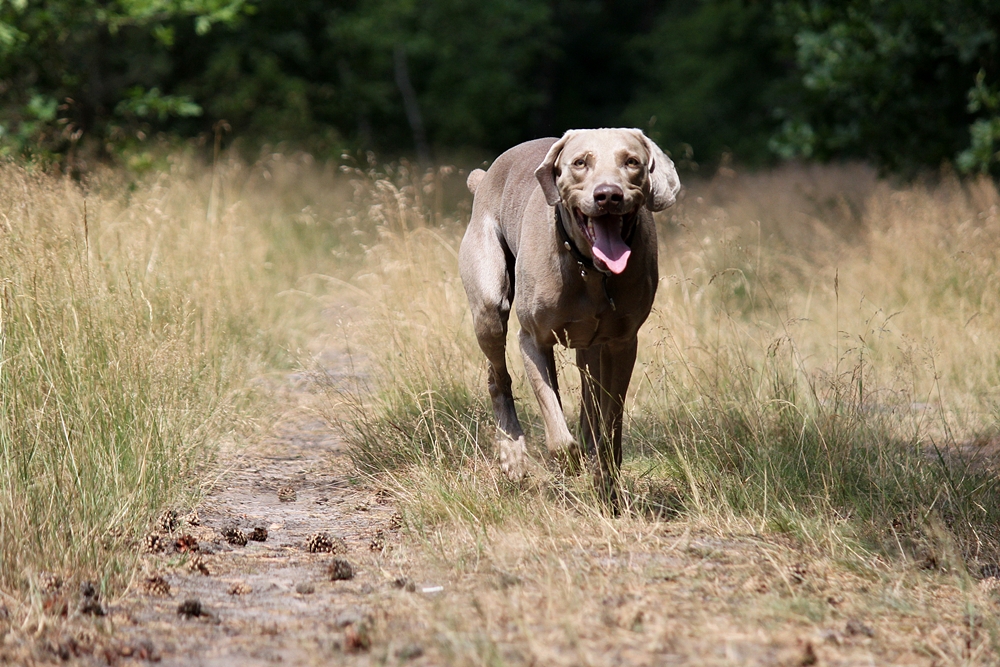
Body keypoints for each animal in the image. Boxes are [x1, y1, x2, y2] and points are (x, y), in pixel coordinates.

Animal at [458, 128, 680, 504]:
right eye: (579, 163)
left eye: (631, 162)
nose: (608, 196)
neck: (589, 270)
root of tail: (484, 178)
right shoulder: (531, 340)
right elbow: (557, 430)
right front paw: (568, 462)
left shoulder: (623, 343)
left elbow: (610, 419)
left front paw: (606, 479)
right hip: (489, 304)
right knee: (497, 376)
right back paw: (513, 454)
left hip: (590, 347)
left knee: (589, 399)